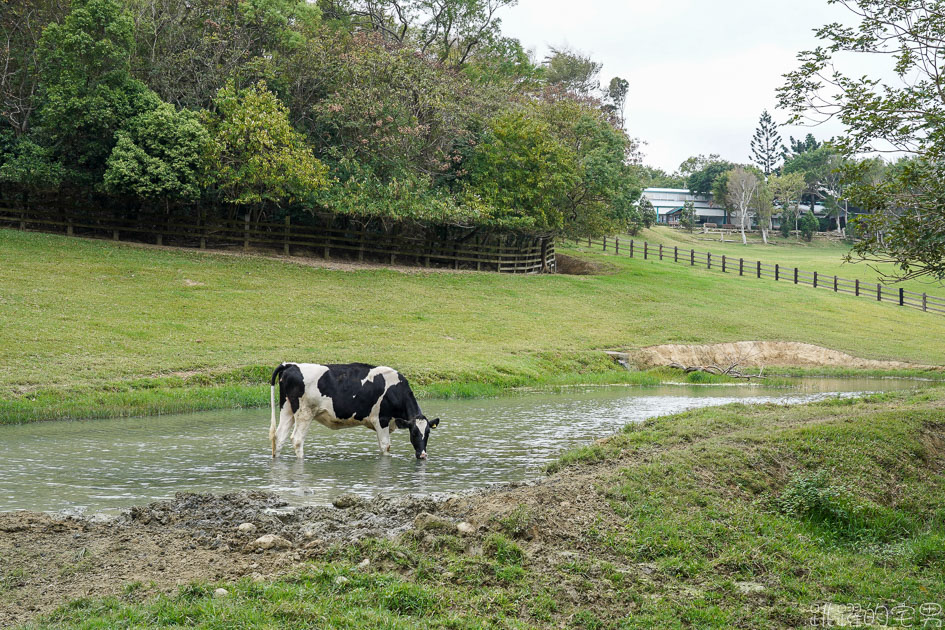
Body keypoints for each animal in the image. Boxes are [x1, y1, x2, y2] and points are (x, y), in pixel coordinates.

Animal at [270, 362, 438, 462]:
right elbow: (386, 446)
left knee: (279, 437)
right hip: (305, 412)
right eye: (414, 433)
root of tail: (290, 365)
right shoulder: (381, 420)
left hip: (287, 410)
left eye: (428, 432)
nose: (423, 455)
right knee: (297, 439)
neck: (395, 389)